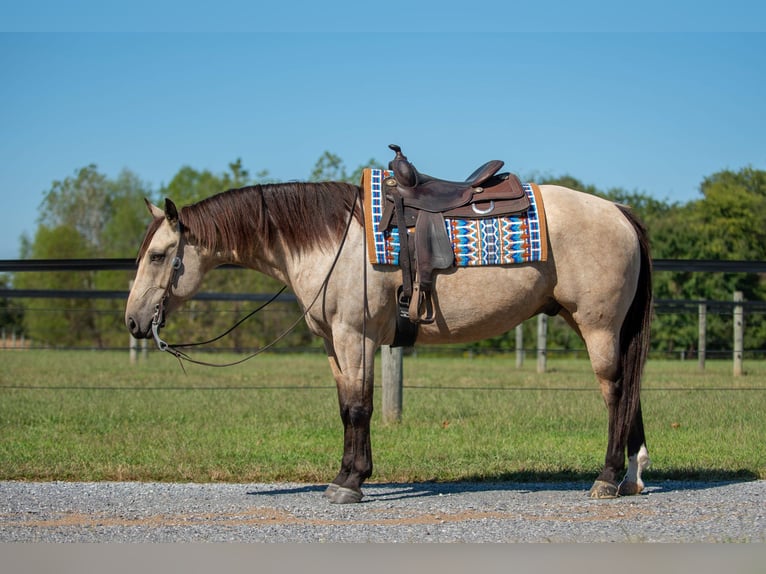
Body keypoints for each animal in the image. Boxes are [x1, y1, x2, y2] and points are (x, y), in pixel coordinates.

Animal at [125, 177, 653, 504]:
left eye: (158, 255)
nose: (133, 322)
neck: (331, 241)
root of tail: (617, 211)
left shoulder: (355, 336)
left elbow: (360, 407)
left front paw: (351, 483)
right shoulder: (334, 344)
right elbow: (346, 407)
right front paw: (347, 474)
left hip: (598, 327)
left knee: (615, 393)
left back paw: (607, 478)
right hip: (602, 327)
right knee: (631, 392)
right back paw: (632, 477)